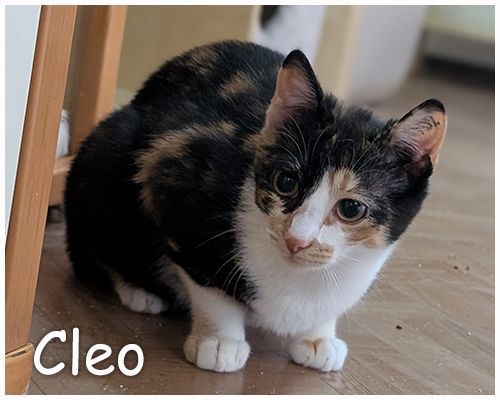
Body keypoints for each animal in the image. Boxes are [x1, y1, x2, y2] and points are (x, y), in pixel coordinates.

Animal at [65, 40, 447, 373]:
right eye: (286, 182)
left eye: (350, 209)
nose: (297, 240)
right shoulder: (169, 168)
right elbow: (208, 284)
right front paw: (220, 340)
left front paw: (317, 337)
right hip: (108, 151)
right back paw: (138, 289)